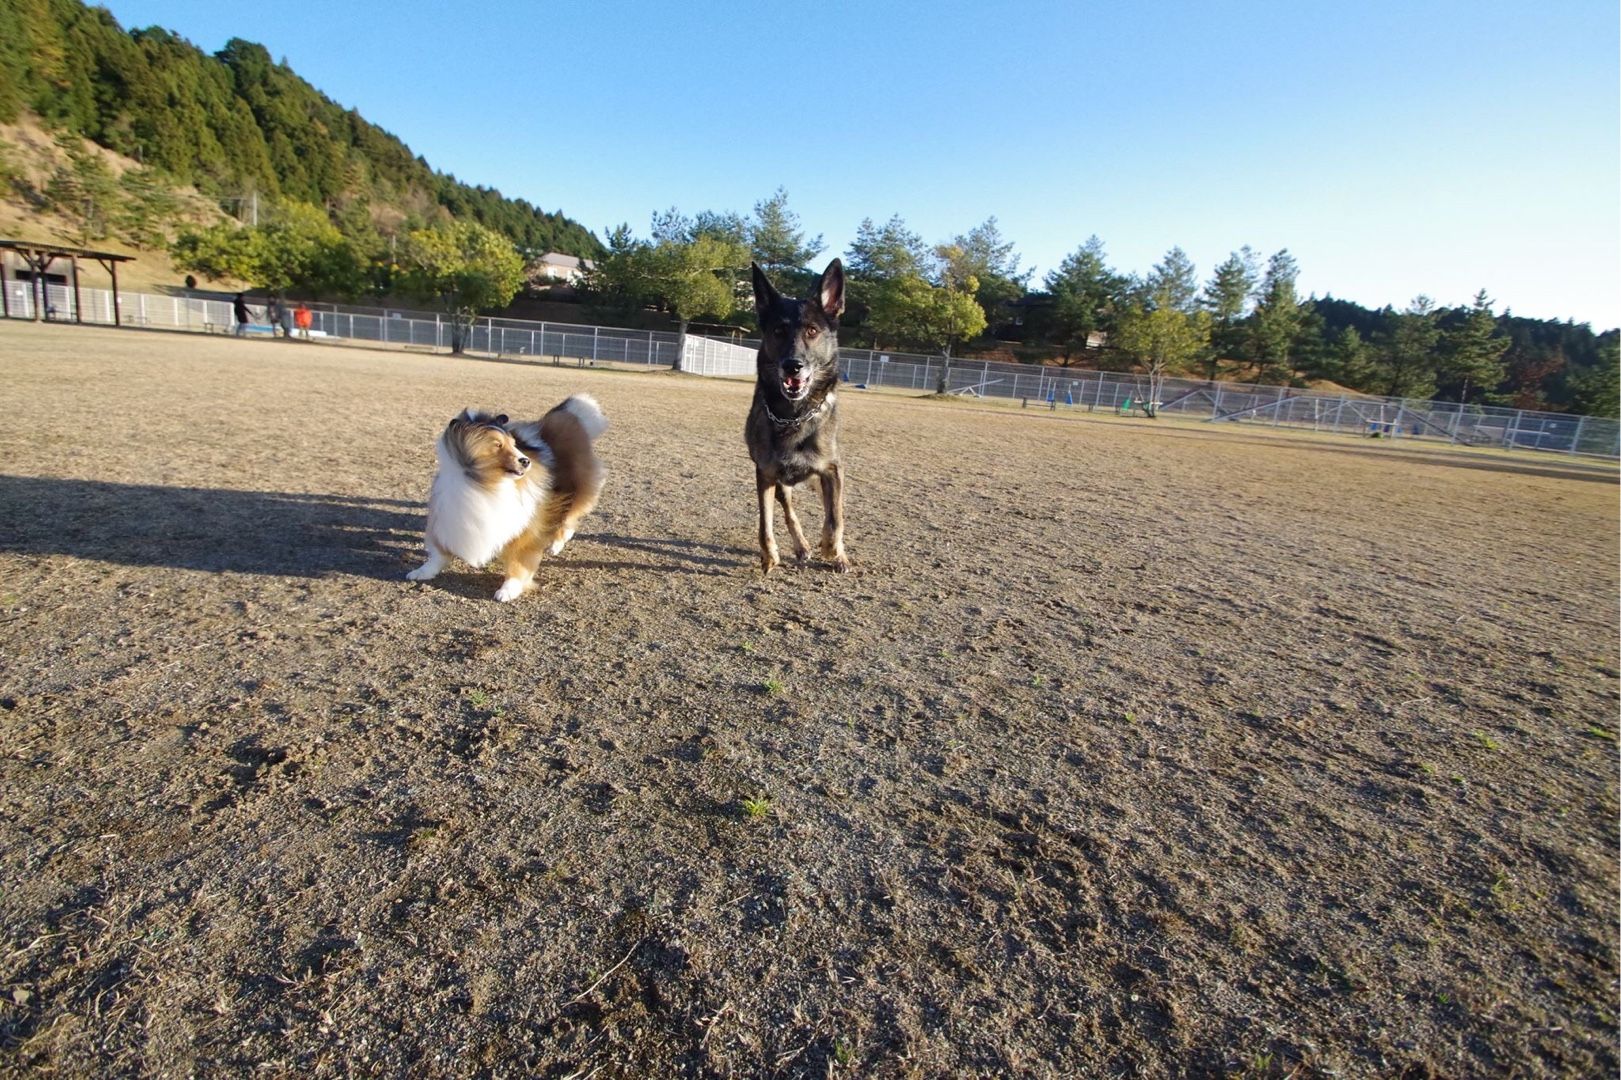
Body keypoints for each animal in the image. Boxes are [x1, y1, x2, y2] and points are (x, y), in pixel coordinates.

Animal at [742, 259, 849, 570]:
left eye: (812, 331)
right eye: (778, 331)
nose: (793, 365)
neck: (793, 415)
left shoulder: (832, 471)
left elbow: (834, 520)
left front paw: (832, 550)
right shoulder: (765, 475)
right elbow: (765, 524)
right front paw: (769, 555)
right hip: (782, 484)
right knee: (789, 510)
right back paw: (801, 546)